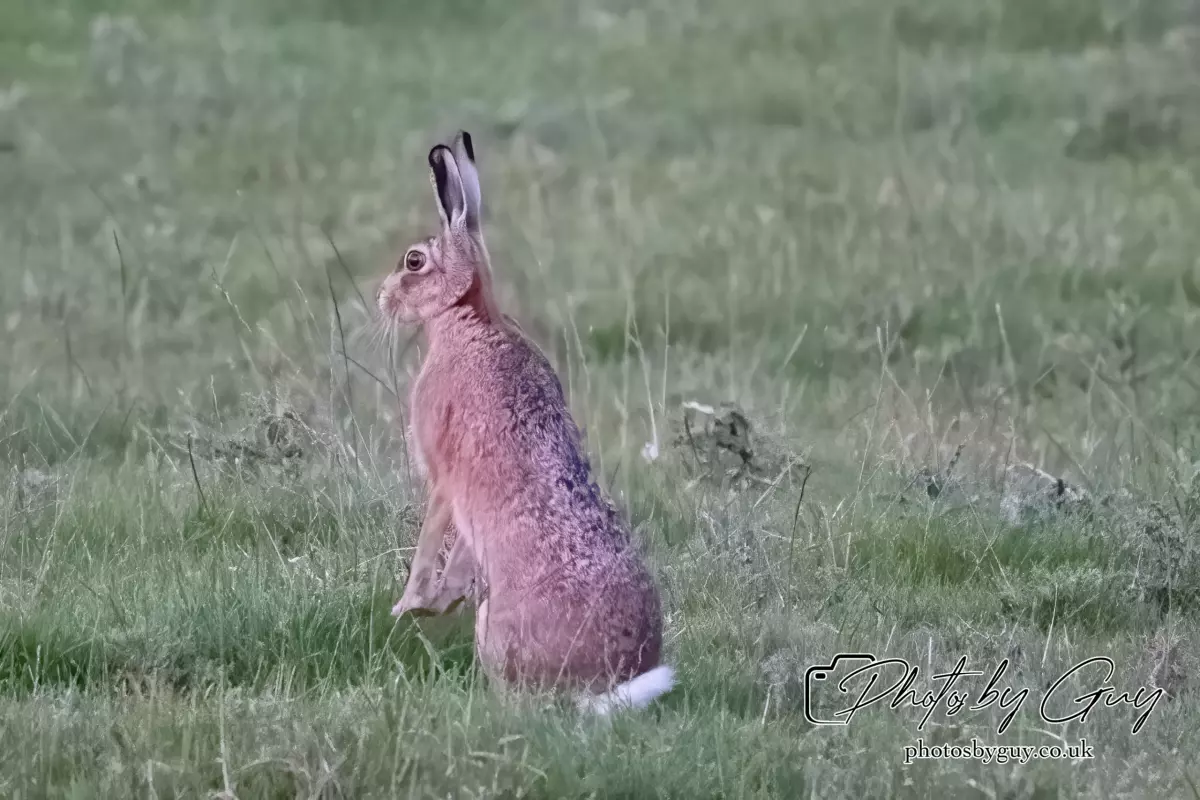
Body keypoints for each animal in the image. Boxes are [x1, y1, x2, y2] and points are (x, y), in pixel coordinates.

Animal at [377, 132, 674, 714]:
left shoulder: (443, 476)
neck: (467, 316)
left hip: (494, 629)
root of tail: (605, 683)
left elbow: (429, 544)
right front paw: (437, 603)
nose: (383, 298)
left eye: (414, 261)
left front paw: (408, 606)